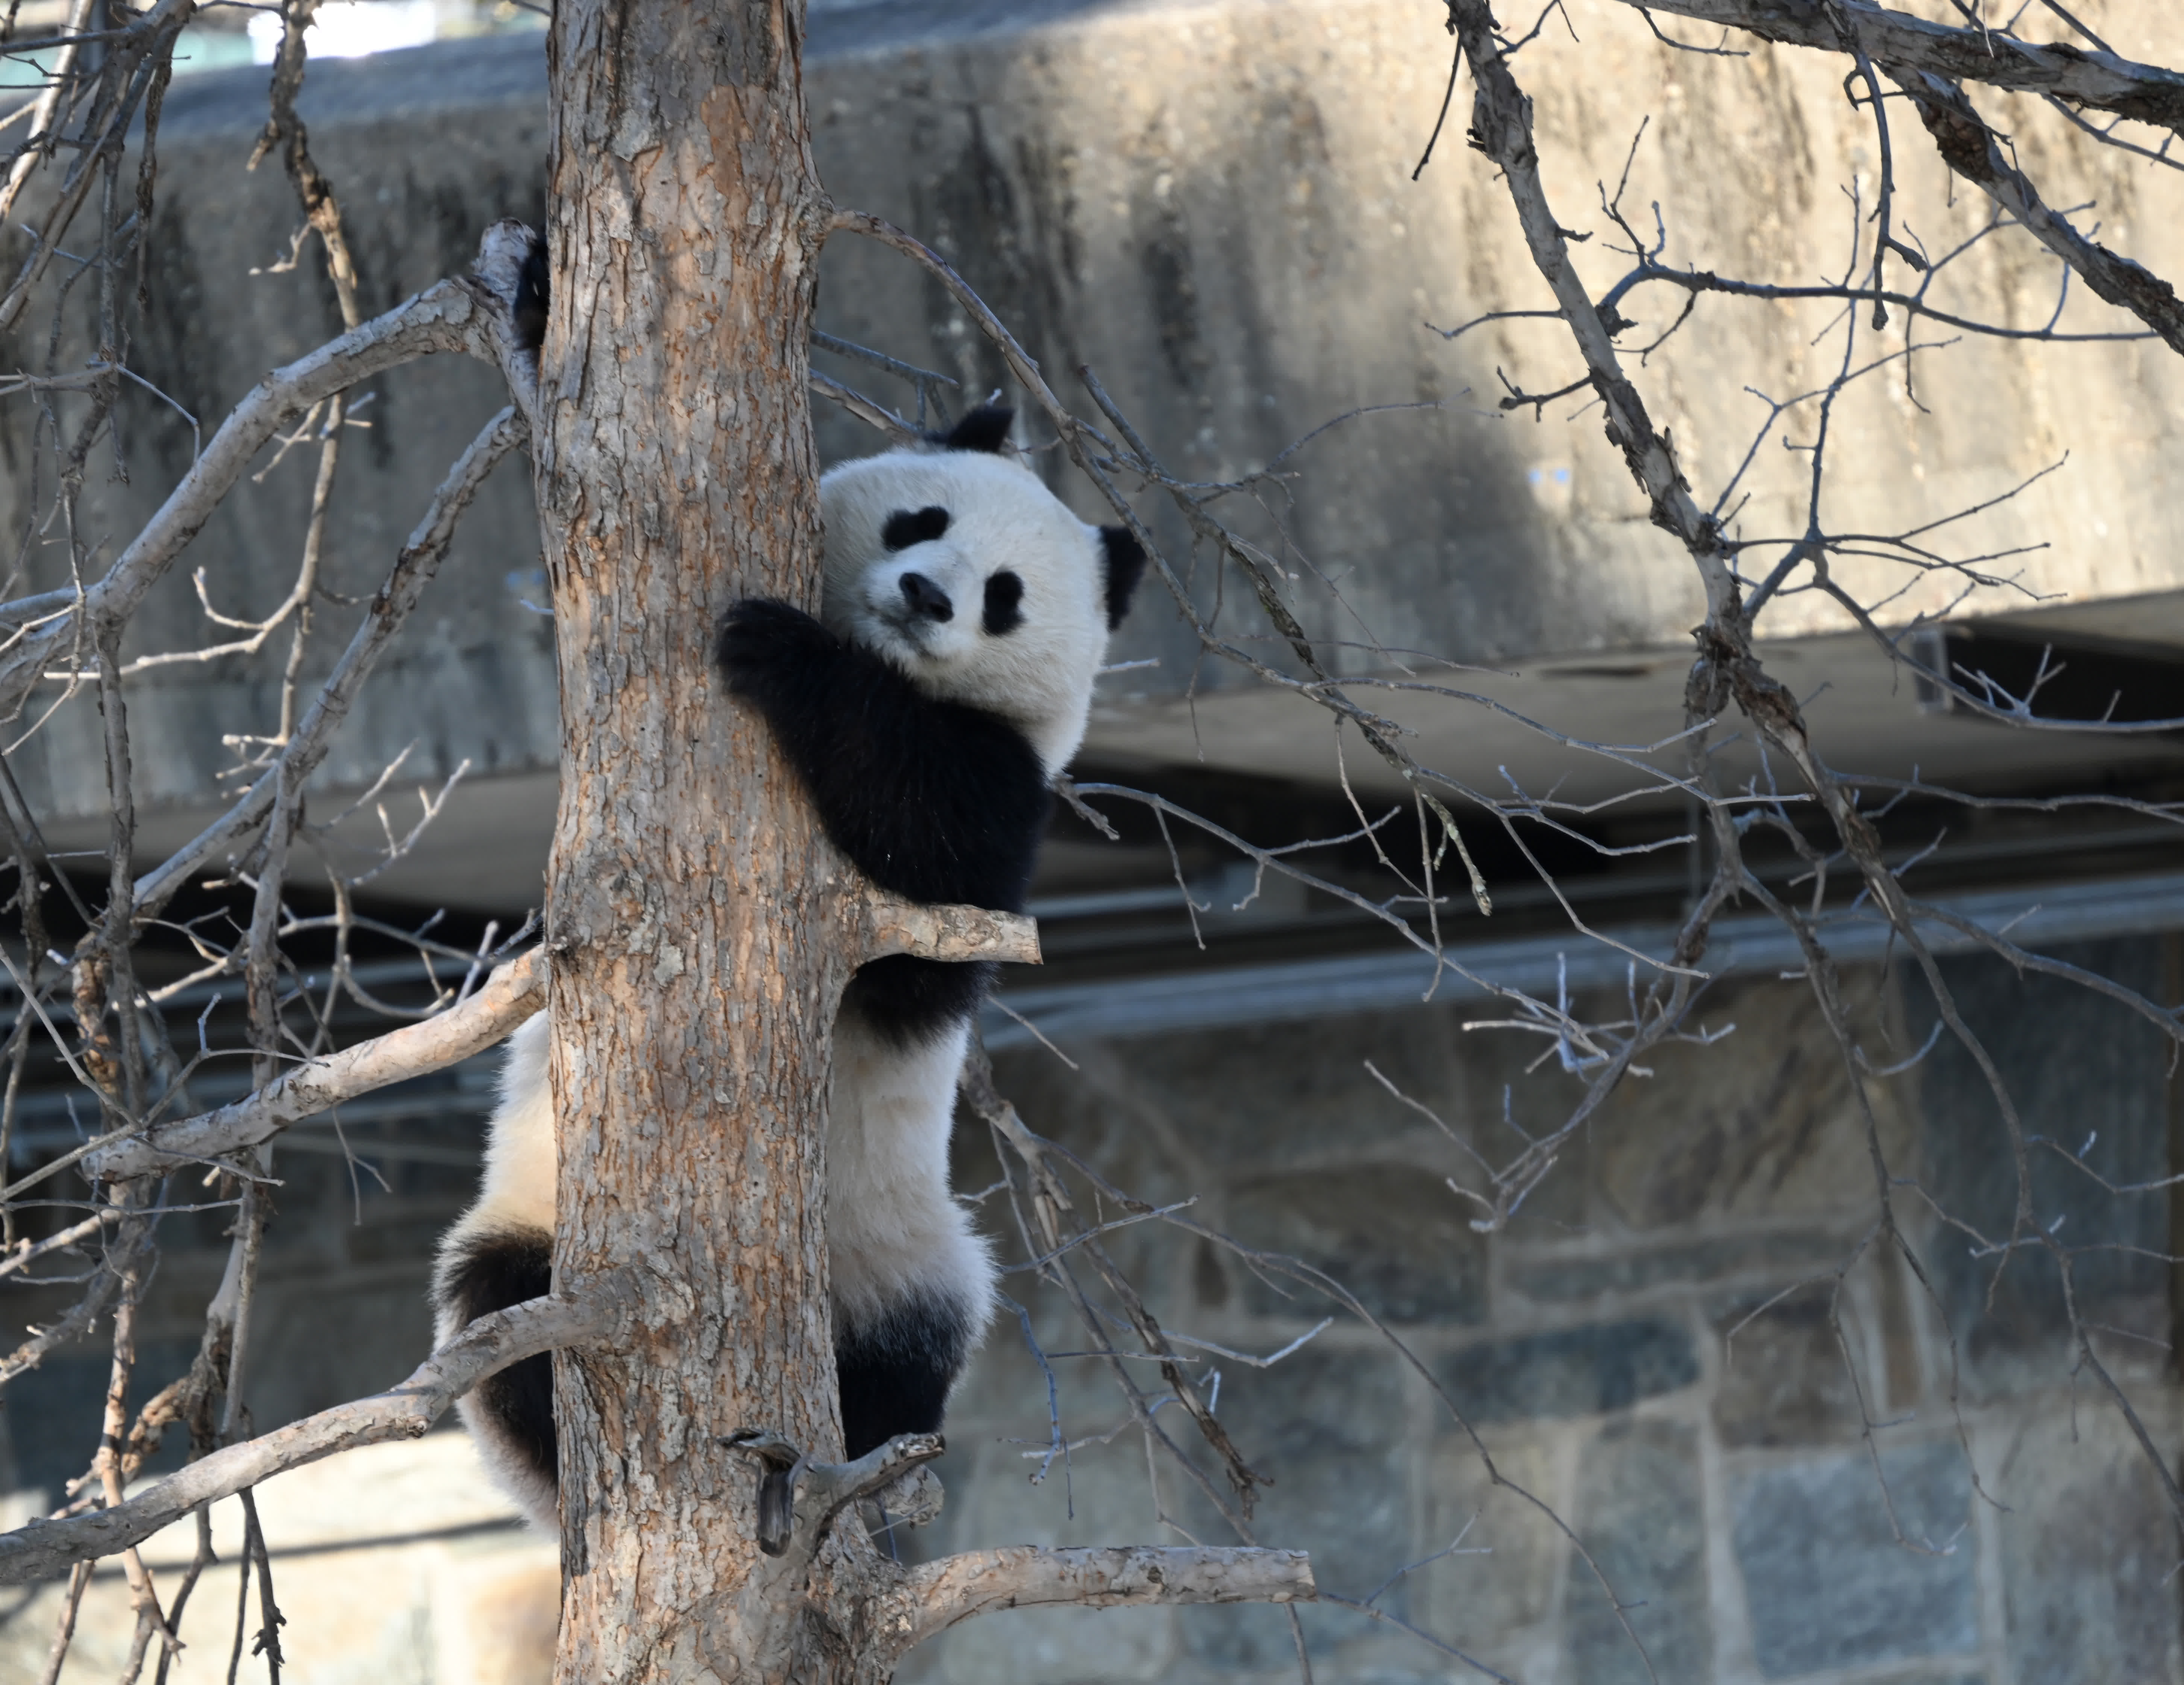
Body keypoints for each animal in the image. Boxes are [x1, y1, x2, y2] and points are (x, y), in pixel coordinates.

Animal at [423, 404, 1144, 1530]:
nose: (927, 596)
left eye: (1006, 596)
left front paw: (784, 654)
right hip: (534, 1215)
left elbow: (929, 884)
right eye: (920, 519)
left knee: (913, 1347)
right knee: (503, 1304)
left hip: (904, 1252)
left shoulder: (1005, 792)